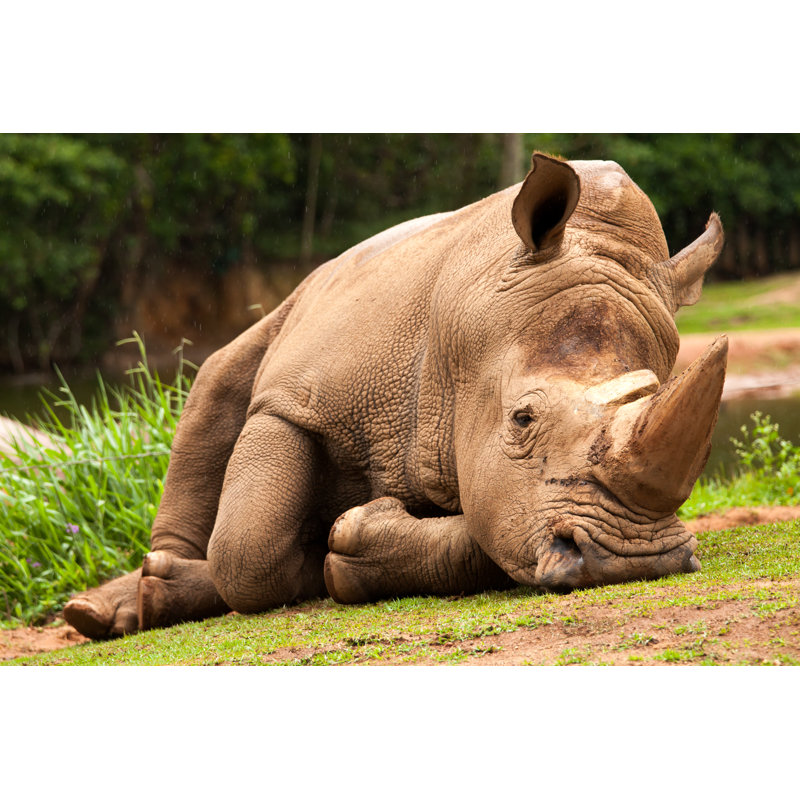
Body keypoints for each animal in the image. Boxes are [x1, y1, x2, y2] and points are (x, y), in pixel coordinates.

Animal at [64, 153, 727, 639]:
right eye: (522, 418)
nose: (634, 557)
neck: (463, 342)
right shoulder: (293, 401)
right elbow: (246, 550)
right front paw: (313, 556)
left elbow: (493, 519)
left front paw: (347, 547)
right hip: (291, 312)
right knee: (215, 385)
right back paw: (125, 602)